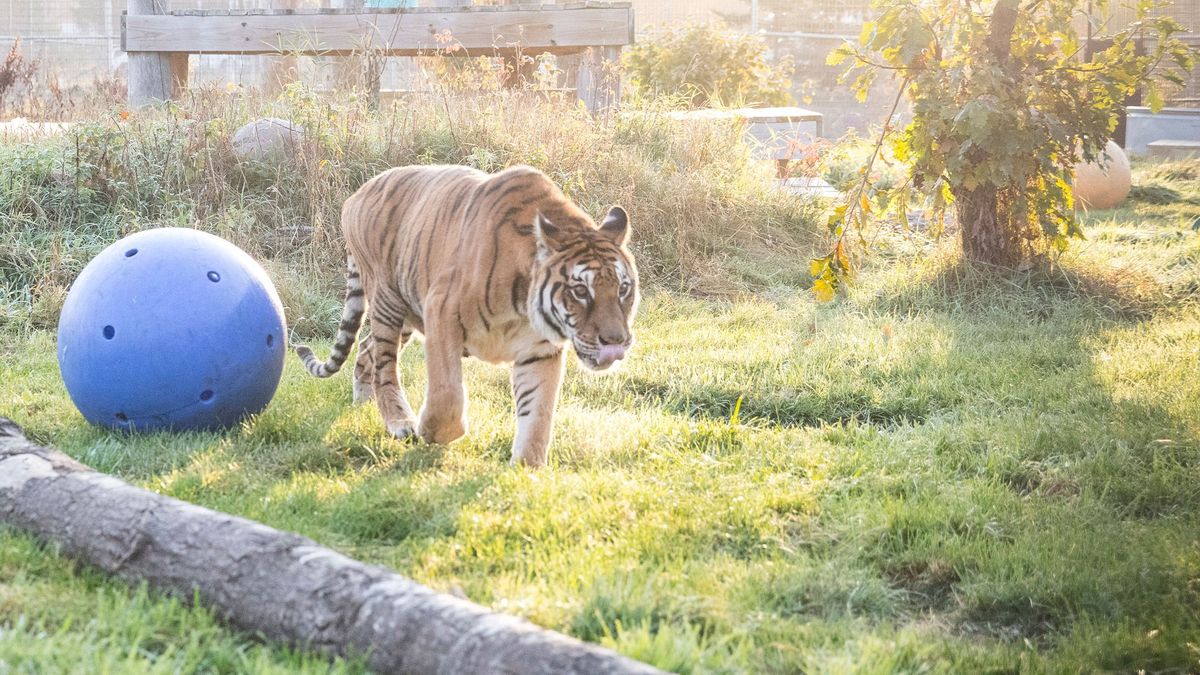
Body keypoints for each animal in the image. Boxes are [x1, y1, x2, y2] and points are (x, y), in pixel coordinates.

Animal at [292, 165, 638, 466]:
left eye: (623, 288)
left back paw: (363, 401)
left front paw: (527, 470)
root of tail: (356, 194)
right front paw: (431, 432)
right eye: (580, 291)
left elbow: (538, 412)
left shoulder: (540, 350)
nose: (615, 341)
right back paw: (400, 422)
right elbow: (447, 393)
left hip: (405, 316)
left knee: (368, 350)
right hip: (387, 301)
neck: (523, 306)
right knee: (384, 367)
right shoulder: (442, 313)